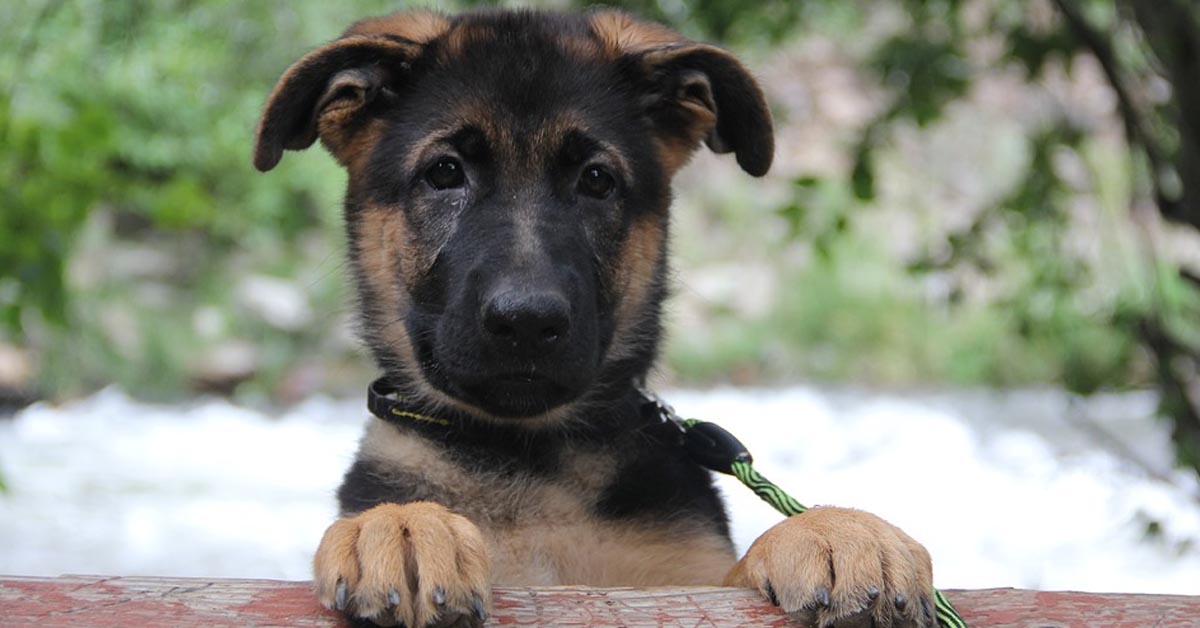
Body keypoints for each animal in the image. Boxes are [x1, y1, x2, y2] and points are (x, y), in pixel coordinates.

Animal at [255, 8, 936, 628]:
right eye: (444, 172)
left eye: (597, 180)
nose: (527, 322)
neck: (527, 457)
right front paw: (403, 525)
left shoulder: (682, 582)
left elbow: (734, 573)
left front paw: (834, 531)